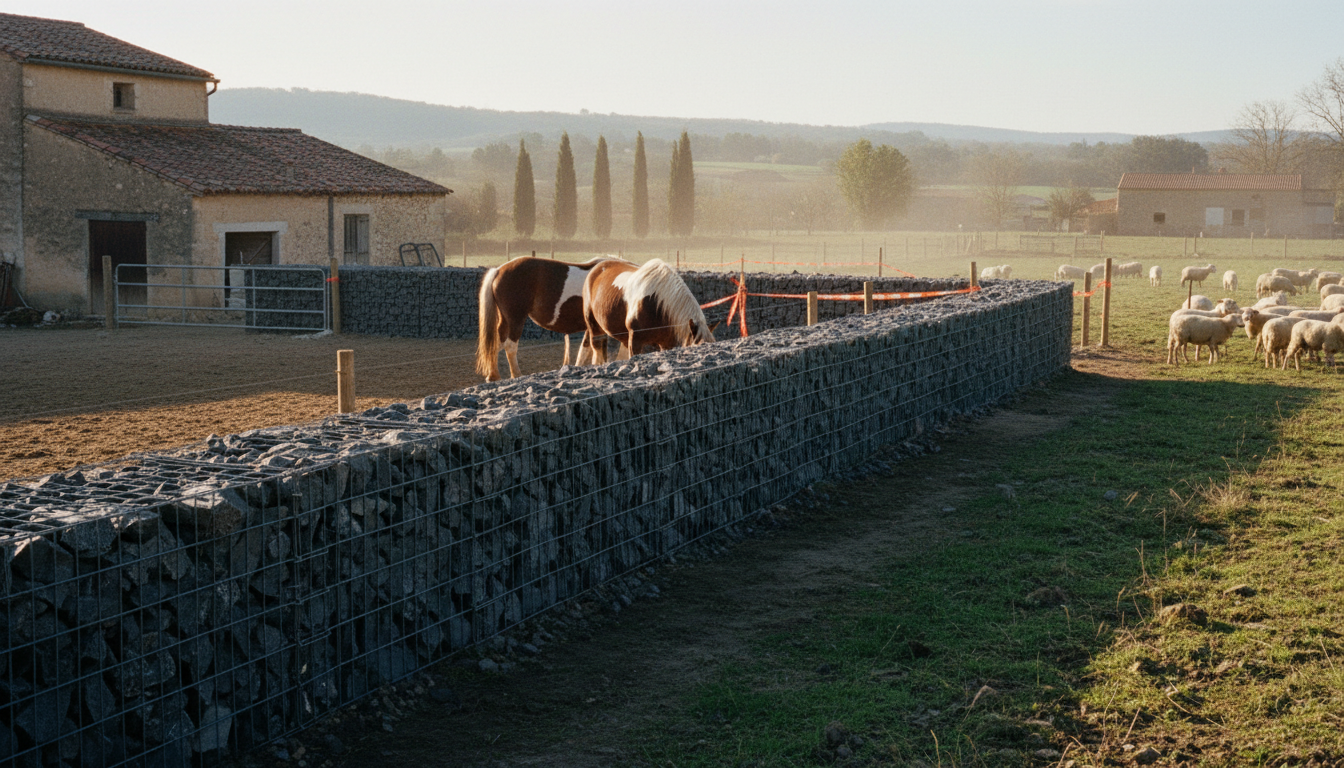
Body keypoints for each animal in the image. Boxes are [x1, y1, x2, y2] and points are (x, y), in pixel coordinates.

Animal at [476, 255, 623, 381]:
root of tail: (499, 270)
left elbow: (586, 349)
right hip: (515, 320)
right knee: (510, 346)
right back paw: (516, 374)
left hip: (506, 320)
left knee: (496, 343)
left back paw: (493, 376)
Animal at [581, 258, 716, 363]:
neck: (656, 305)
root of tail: (597, 267)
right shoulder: (635, 341)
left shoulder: (667, 344)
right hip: (594, 326)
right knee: (597, 348)